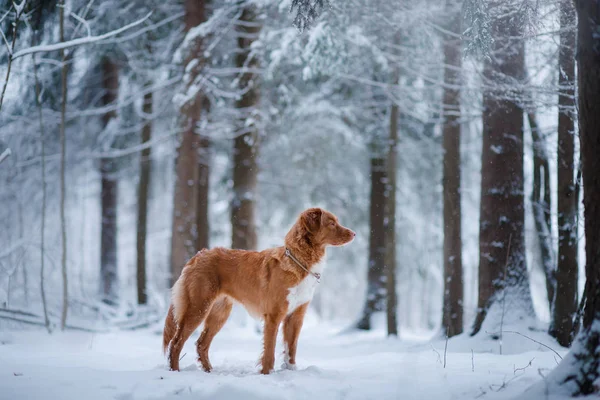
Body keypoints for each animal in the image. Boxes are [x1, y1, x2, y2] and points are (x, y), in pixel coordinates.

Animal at [162, 208, 354, 374]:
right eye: (331, 223)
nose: (354, 234)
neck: (300, 261)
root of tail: (198, 255)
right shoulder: (274, 315)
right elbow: (269, 351)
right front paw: (267, 374)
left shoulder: (296, 316)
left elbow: (291, 349)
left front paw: (290, 371)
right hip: (198, 308)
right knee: (176, 343)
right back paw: (175, 371)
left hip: (219, 313)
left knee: (201, 344)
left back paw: (209, 371)